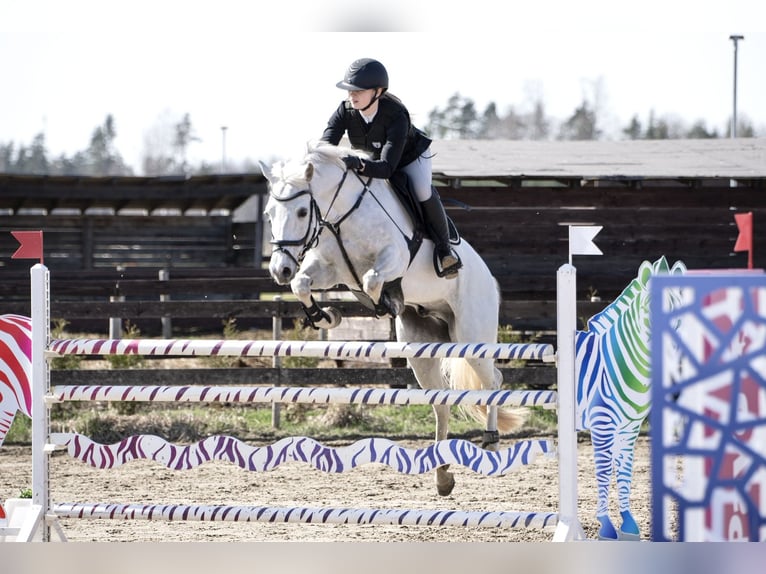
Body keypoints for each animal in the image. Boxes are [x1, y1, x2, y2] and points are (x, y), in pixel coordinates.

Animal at [260, 142, 524, 498]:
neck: (342, 216)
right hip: (421, 348)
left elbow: (373, 280)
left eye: (302, 212)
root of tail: (489, 278)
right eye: (269, 214)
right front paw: (326, 316)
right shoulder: (329, 270)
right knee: (441, 402)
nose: (279, 269)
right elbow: (301, 284)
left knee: (493, 382)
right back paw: (442, 474)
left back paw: (492, 445)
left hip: (472, 336)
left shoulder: (392, 259)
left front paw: (385, 300)